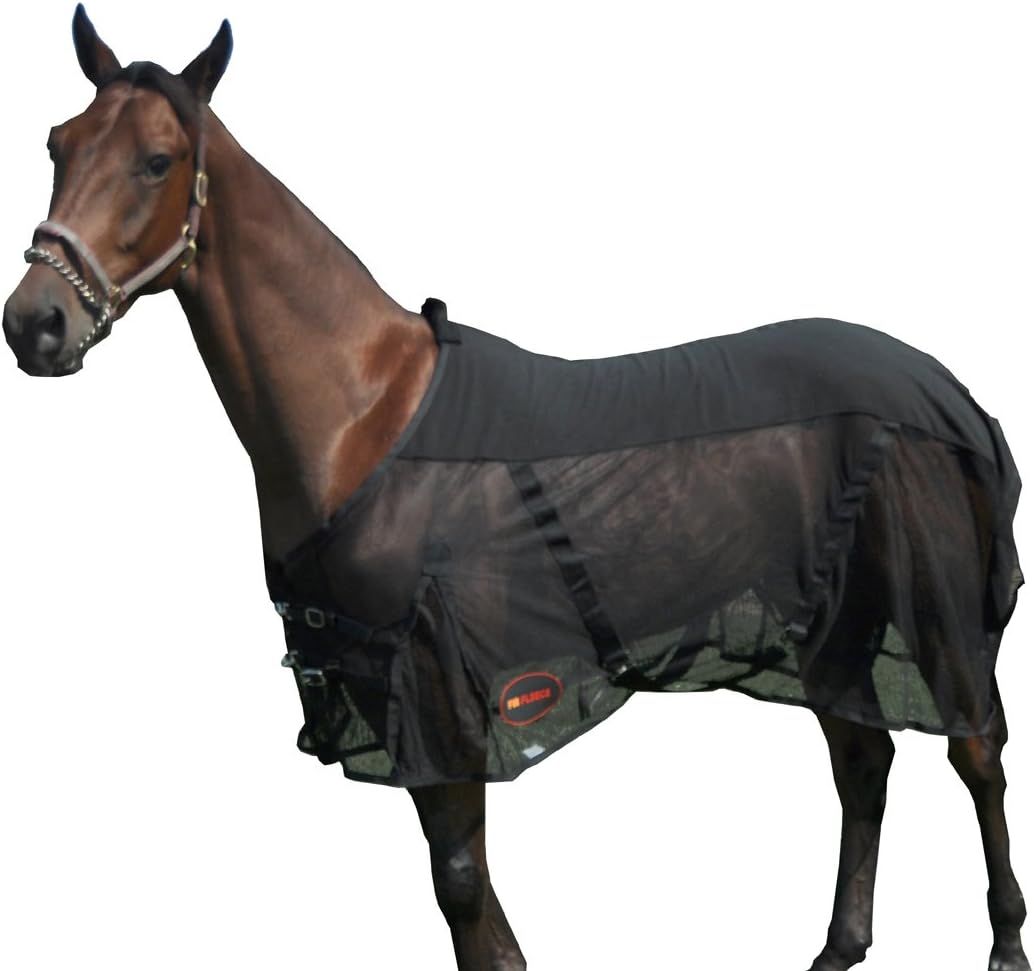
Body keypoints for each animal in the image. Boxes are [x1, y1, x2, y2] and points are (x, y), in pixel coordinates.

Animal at [2, 8, 1028, 970]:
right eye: (57, 143)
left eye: (157, 160)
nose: (34, 325)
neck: (364, 413)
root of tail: (946, 389)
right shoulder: (390, 689)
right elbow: (471, 902)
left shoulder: (436, 692)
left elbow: (461, 885)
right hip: (831, 620)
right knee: (865, 758)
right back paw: (837, 945)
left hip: (927, 608)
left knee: (975, 751)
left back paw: (1005, 944)